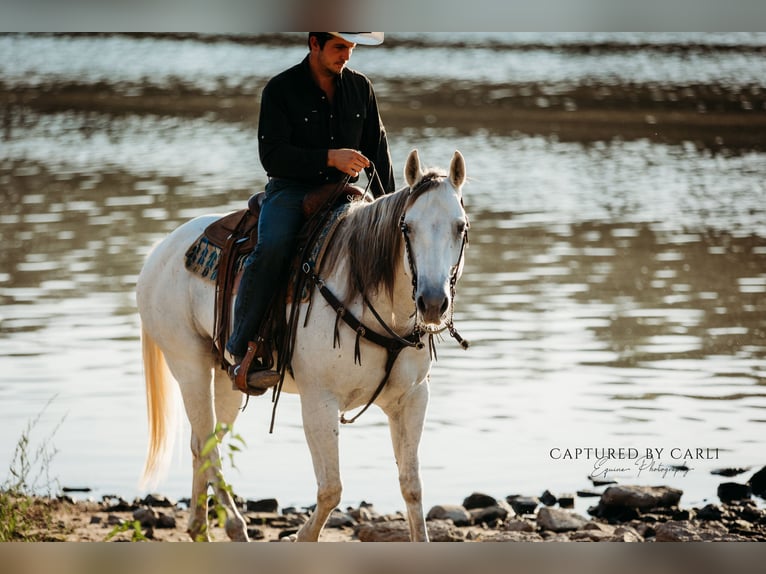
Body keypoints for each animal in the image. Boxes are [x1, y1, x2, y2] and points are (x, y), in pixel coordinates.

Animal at [135, 149, 469, 542]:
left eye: (460, 226)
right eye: (407, 227)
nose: (432, 303)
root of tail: (160, 250)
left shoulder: (412, 399)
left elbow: (411, 486)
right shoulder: (319, 402)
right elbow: (331, 490)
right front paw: (303, 536)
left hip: (226, 376)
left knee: (203, 441)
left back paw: (200, 526)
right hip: (189, 366)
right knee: (206, 445)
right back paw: (234, 527)